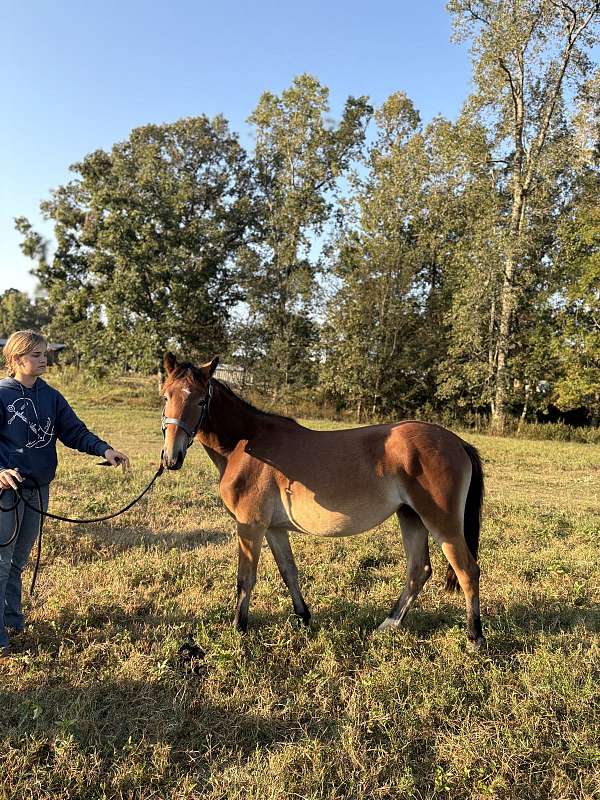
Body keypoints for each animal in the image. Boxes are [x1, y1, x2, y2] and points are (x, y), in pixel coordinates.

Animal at [160, 352, 486, 649]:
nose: (171, 458)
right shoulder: (274, 528)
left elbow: (246, 578)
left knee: (467, 571)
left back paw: (475, 637)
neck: (246, 444)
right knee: (419, 570)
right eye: (166, 396)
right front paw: (304, 617)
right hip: (411, 516)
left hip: (441, 523)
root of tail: (457, 442)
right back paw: (388, 624)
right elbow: (289, 572)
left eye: (201, 401)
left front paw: (240, 628)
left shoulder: (250, 526)